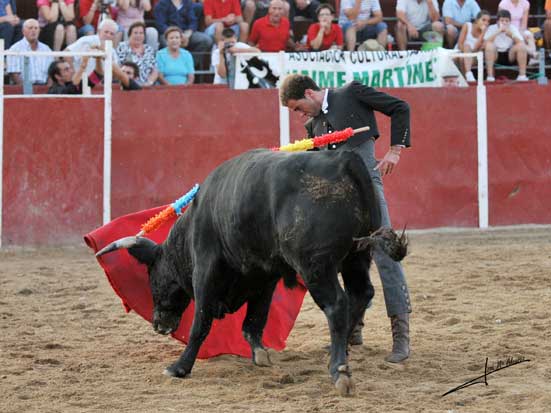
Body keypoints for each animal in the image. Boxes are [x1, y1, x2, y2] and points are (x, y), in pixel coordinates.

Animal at [97, 149, 408, 396]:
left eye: (153, 277)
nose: (158, 324)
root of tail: (345, 160)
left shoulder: (206, 270)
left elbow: (201, 322)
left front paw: (179, 367)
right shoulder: (264, 273)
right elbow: (256, 318)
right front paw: (260, 354)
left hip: (315, 265)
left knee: (337, 304)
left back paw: (339, 370)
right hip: (357, 256)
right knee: (361, 294)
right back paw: (337, 352)